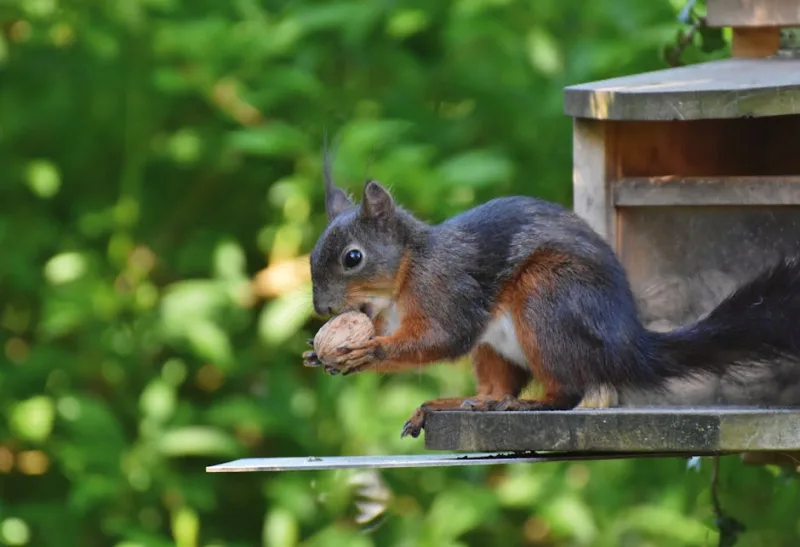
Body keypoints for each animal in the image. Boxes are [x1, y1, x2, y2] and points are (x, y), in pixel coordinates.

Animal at [302, 161, 800, 439]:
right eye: (310, 256)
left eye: (352, 258)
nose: (322, 309)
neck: (408, 269)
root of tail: (627, 347)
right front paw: (315, 353)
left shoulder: (447, 287)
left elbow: (443, 336)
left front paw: (366, 351)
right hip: (497, 347)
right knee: (495, 387)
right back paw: (458, 403)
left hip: (547, 299)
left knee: (568, 392)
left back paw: (527, 405)